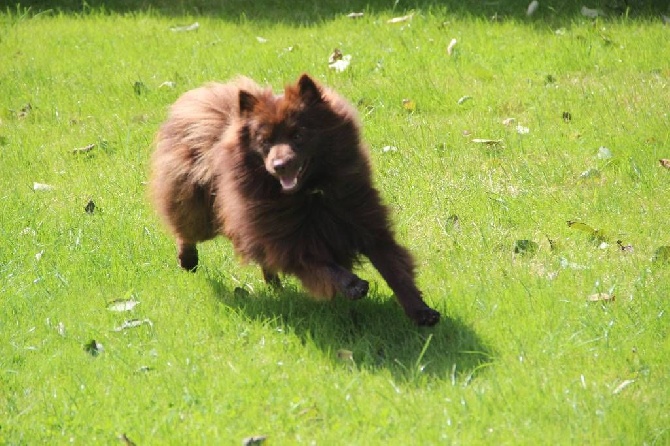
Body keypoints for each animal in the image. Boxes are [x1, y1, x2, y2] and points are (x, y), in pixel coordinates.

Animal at [150, 72, 444, 324]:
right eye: (265, 142)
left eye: (298, 135)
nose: (279, 165)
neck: (311, 194)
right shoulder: (290, 239)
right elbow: (322, 264)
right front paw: (352, 284)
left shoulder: (366, 223)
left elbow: (394, 269)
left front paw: (420, 311)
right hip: (202, 207)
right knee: (186, 228)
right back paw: (187, 259)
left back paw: (274, 285)